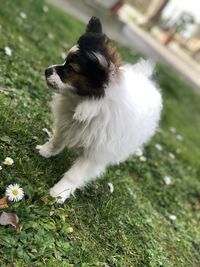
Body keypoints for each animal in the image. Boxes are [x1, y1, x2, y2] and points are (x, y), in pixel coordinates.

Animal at [36, 16, 162, 204]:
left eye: (69, 69)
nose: (46, 70)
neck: (87, 107)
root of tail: (145, 79)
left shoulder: (94, 154)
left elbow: (74, 175)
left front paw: (58, 193)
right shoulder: (66, 125)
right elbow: (56, 140)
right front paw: (45, 151)